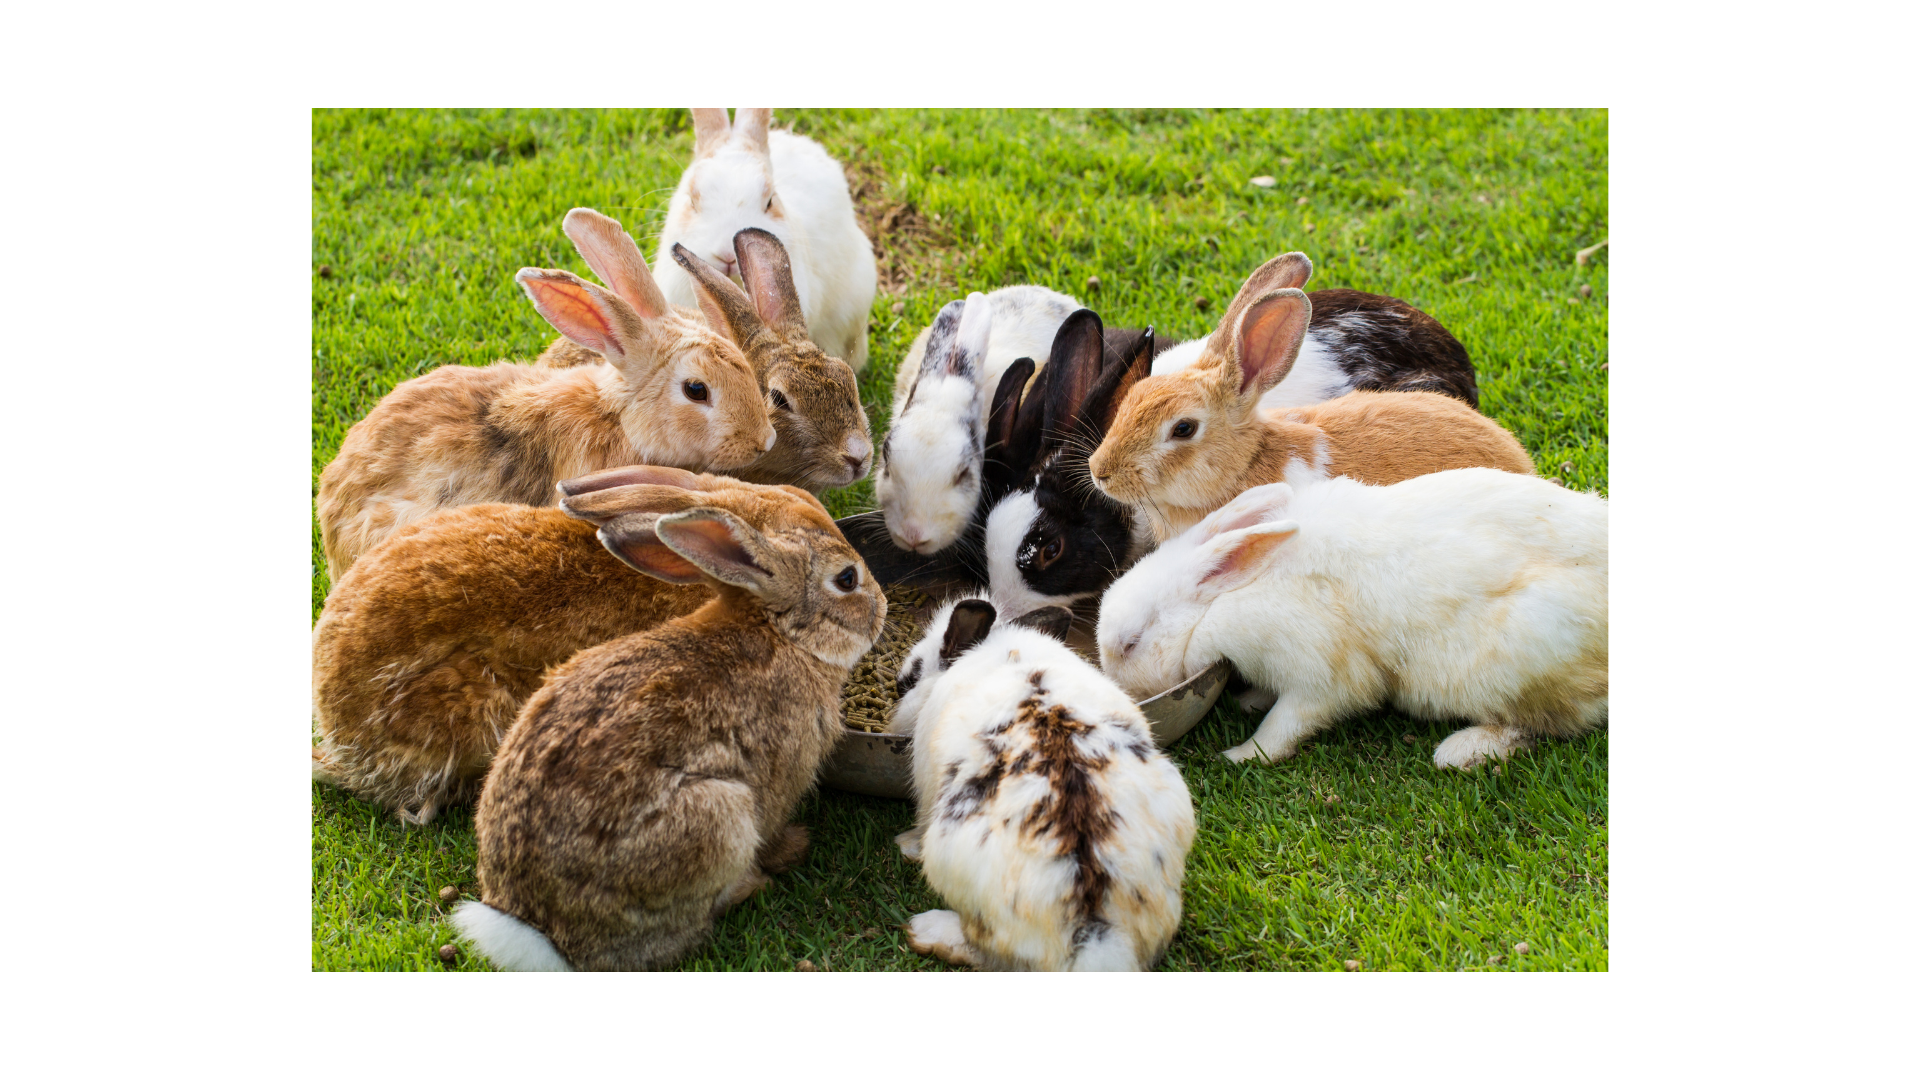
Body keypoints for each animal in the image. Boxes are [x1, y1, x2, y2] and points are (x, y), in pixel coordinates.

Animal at [450, 483, 886, 971]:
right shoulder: (782, 778)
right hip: (719, 817)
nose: (884, 606)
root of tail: (542, 933)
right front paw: (790, 847)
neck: (783, 633)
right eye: (846, 579)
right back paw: (751, 885)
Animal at [886, 596, 1195, 971]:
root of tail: (1094, 932)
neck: (1004, 651)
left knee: (985, 952)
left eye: (909, 680)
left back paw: (926, 930)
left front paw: (907, 844)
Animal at [1096, 471, 1608, 769]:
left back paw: (1461, 751)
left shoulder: (1319, 676)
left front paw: (1241, 755)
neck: (1221, 601)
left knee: (1544, 725)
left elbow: (1285, 725)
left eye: (1130, 643)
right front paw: (1249, 701)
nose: (1123, 692)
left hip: (1516, 662)